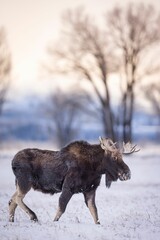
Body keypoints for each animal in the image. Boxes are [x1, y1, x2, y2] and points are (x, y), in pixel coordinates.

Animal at [8, 138, 139, 224]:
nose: (127, 173)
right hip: (25, 181)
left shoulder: (90, 189)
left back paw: (11, 220)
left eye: (121, 157)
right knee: (17, 198)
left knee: (12, 200)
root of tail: (13, 162)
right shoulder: (68, 187)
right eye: (114, 157)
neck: (95, 167)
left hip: (20, 183)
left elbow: (94, 211)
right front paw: (53, 222)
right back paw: (33, 216)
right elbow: (61, 208)